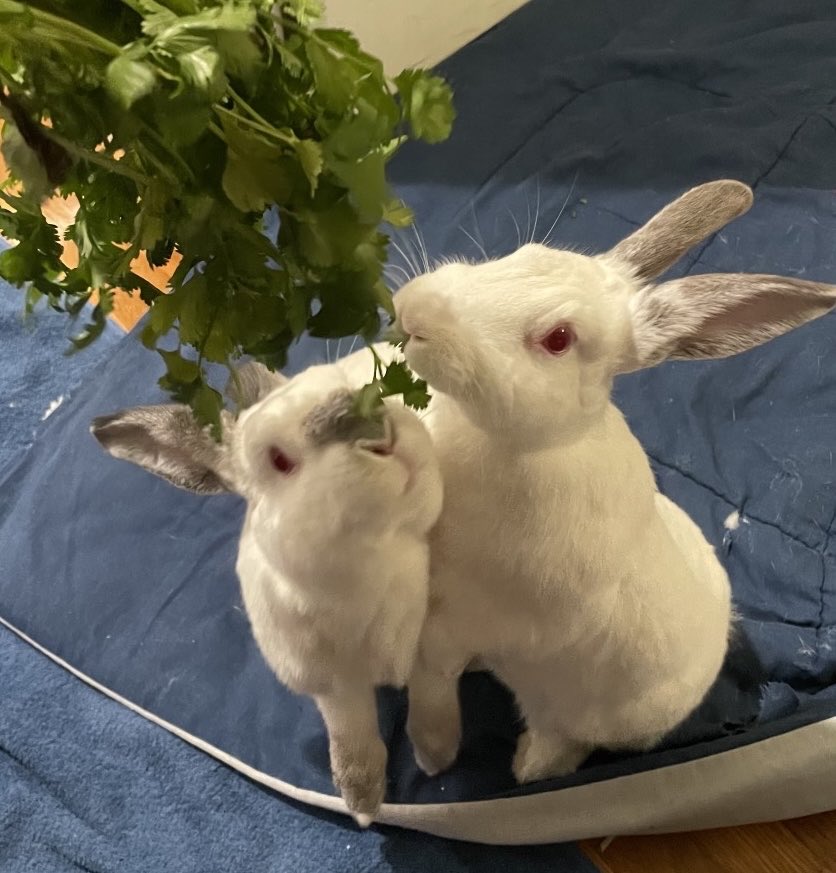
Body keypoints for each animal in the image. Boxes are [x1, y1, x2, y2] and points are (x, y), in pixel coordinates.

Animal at [91, 360, 443, 825]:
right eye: (279, 460)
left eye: (365, 391)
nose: (376, 430)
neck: (372, 564)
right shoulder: (332, 687)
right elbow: (353, 740)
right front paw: (363, 806)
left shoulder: (426, 645)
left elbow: (428, 698)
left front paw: (432, 755)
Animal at [389, 179, 836, 784]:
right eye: (522, 254)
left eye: (557, 339)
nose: (412, 311)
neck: (532, 443)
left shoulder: (463, 622)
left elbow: (432, 684)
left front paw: (432, 757)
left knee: (569, 742)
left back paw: (530, 764)